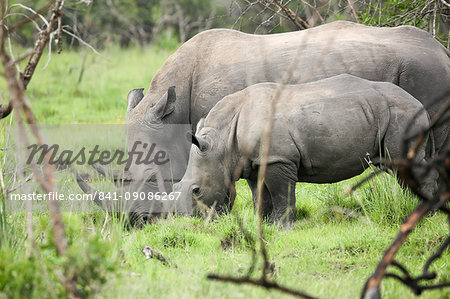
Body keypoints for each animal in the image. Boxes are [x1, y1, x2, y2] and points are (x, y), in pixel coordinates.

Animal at [172, 75, 436, 225]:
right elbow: (260, 196)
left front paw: (281, 227)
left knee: (404, 164)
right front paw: (263, 225)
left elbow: (282, 194)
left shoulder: (278, 159)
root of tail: (421, 105)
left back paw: (425, 215)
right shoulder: (254, 162)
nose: (191, 222)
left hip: (403, 114)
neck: (223, 141)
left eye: (196, 190)